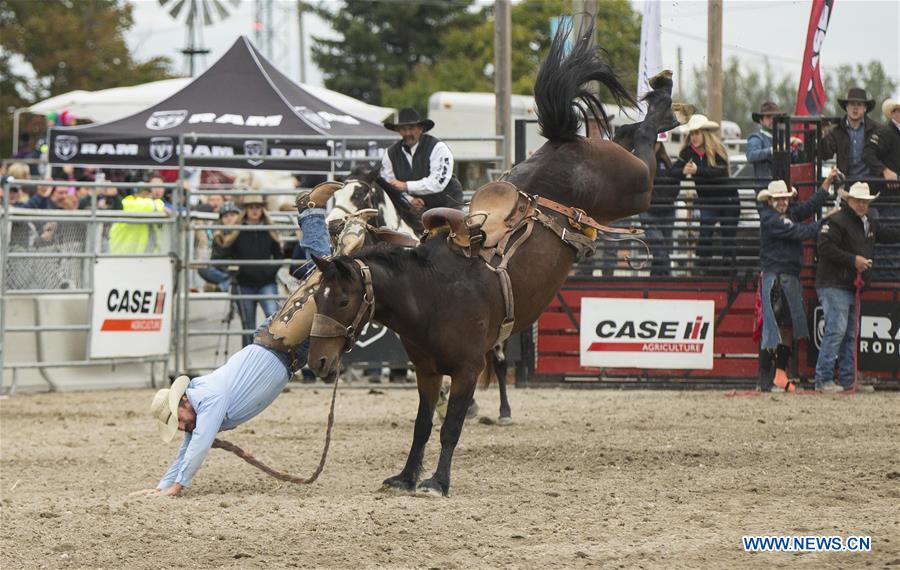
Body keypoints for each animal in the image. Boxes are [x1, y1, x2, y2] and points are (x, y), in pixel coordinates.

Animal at [308, 20, 676, 494]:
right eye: (316, 298)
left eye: (341, 299)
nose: (316, 361)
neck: (429, 293)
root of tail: (564, 142)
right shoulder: (427, 372)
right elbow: (422, 426)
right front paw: (407, 476)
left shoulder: (466, 369)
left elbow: (450, 427)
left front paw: (438, 481)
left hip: (632, 187)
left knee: (647, 150)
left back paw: (663, 99)